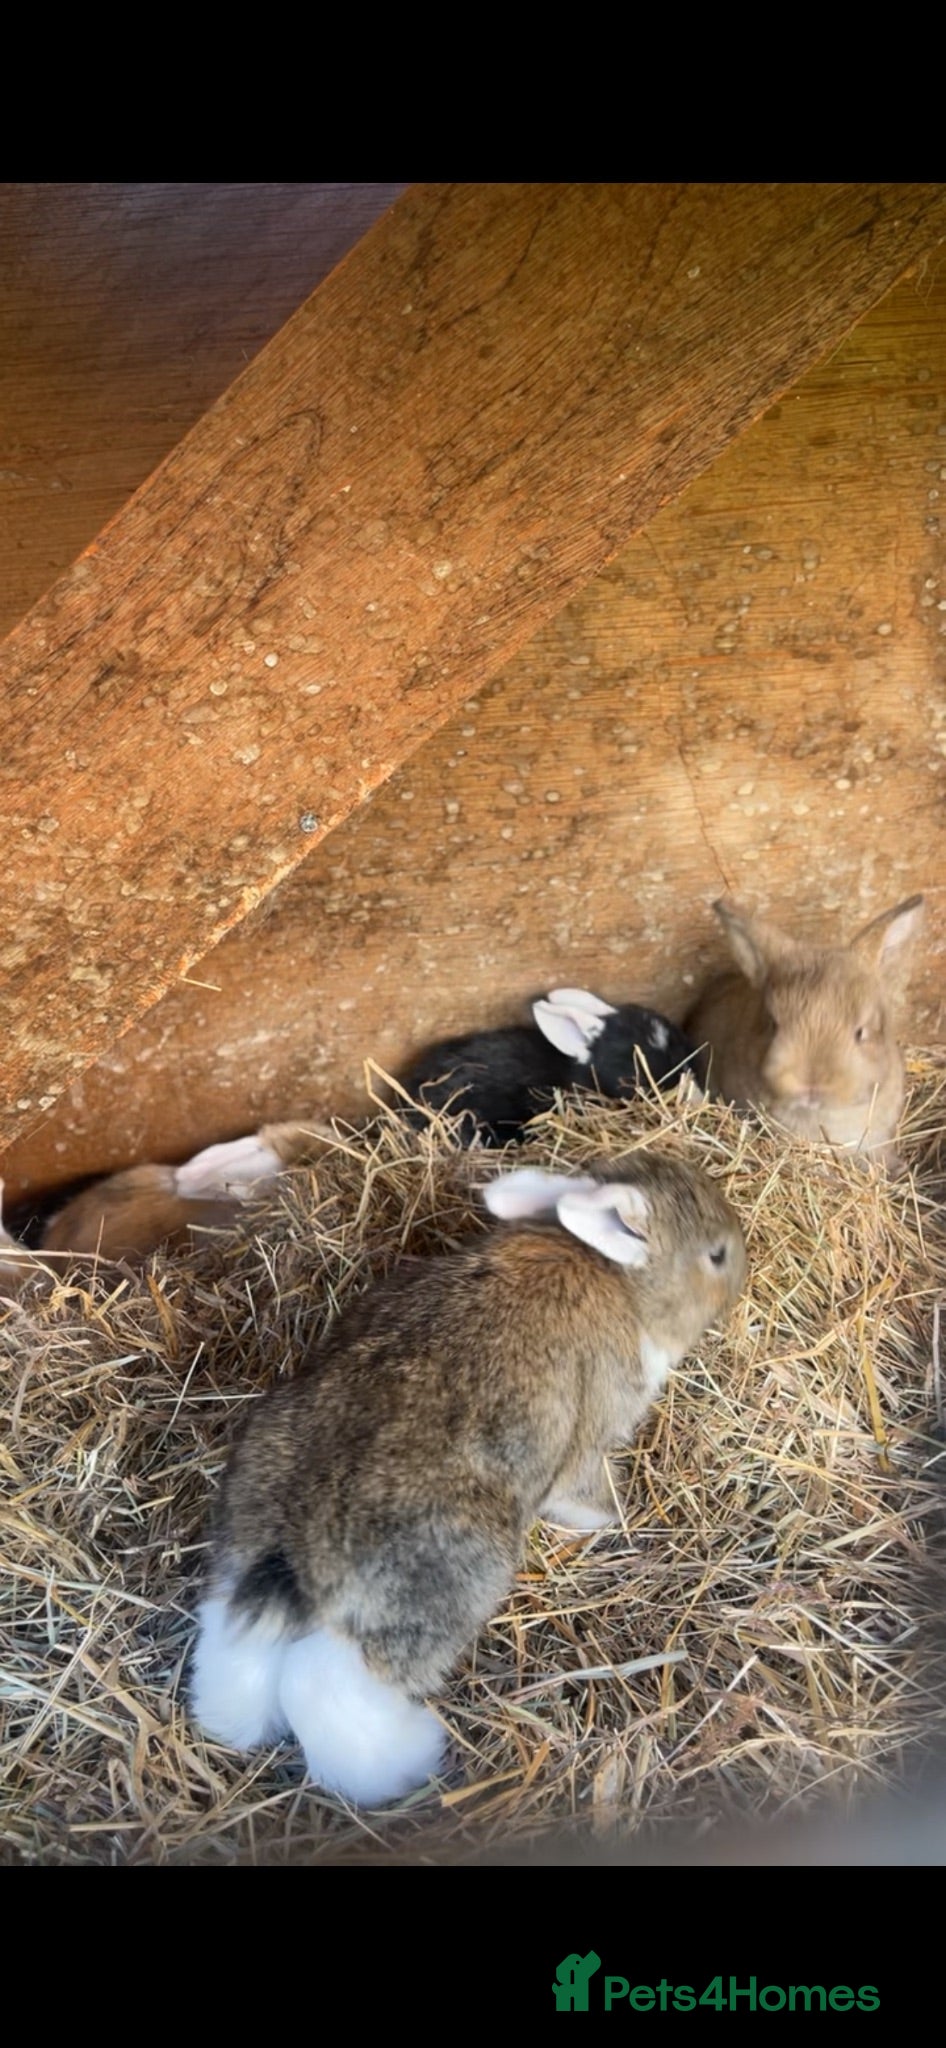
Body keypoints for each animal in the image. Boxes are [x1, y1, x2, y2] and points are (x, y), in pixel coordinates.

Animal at [189, 1151, 747, 1806]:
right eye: (715, 1255)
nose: (743, 1258)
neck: (620, 1279)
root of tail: (300, 1549)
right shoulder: (588, 1443)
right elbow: (584, 1493)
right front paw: (614, 1524)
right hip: (440, 1590)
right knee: (324, 1685)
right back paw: (416, 1759)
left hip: (243, 1549)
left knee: (236, 1649)